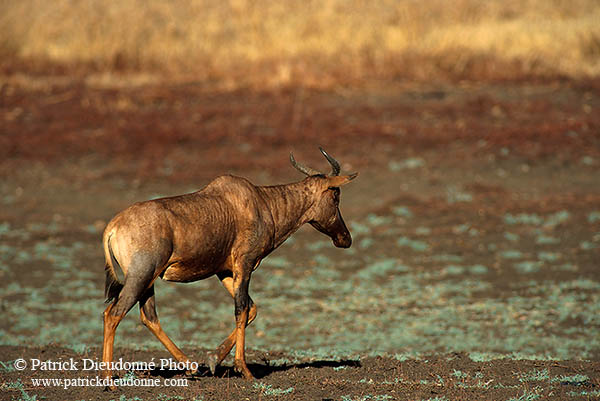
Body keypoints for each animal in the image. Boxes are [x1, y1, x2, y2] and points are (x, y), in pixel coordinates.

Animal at [101, 147, 356, 382]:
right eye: (336, 195)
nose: (345, 239)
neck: (260, 202)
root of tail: (113, 226)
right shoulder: (245, 264)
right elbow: (240, 309)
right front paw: (244, 370)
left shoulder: (224, 271)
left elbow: (251, 308)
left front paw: (213, 360)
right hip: (141, 275)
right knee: (114, 313)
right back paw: (108, 380)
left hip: (149, 280)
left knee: (148, 317)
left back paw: (191, 367)